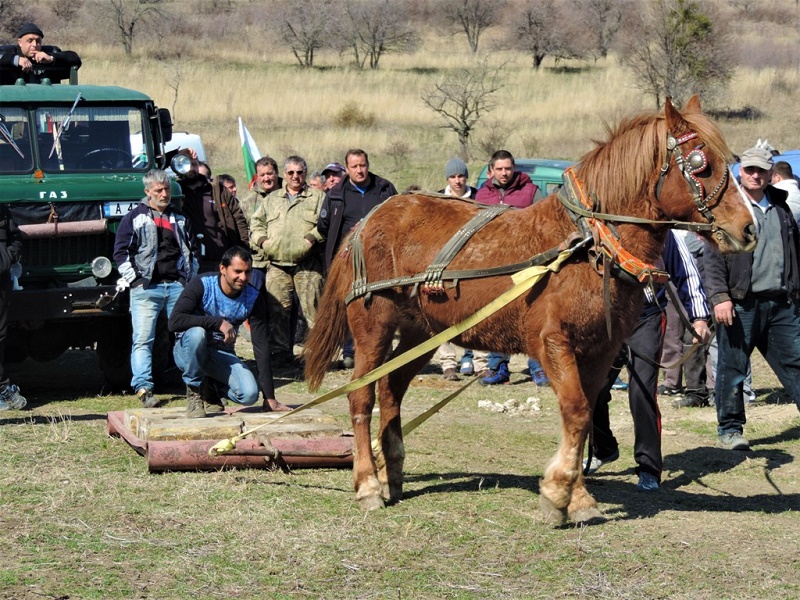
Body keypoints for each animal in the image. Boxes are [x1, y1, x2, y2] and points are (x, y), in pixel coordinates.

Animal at [304, 96, 756, 524]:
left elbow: (584, 416)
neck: (589, 245)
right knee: (362, 396)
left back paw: (392, 474)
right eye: (701, 163)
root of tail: (367, 222)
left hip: (424, 334)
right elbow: (576, 411)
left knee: (391, 389)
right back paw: (368, 484)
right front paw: (558, 494)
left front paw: (577, 498)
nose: (748, 228)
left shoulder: (602, 350)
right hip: (373, 327)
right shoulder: (553, 343)